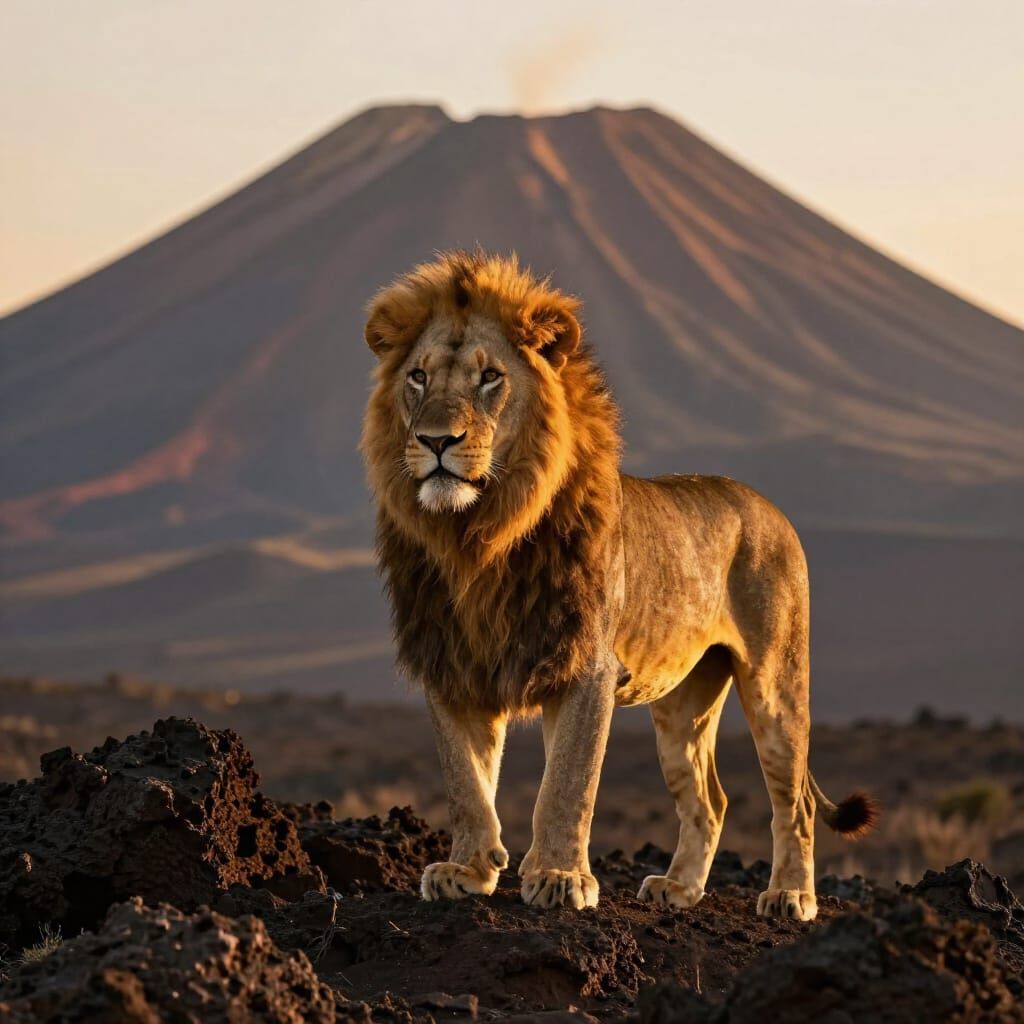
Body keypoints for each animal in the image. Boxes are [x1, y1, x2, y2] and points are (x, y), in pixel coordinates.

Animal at [361, 250, 876, 921]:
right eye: (418, 377)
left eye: (490, 378)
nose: (436, 441)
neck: (477, 537)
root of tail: (769, 507)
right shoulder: (452, 664)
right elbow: (466, 781)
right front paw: (469, 870)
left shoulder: (587, 665)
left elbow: (567, 784)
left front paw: (559, 877)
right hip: (683, 704)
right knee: (710, 800)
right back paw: (679, 889)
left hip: (775, 684)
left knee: (797, 800)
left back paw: (791, 895)